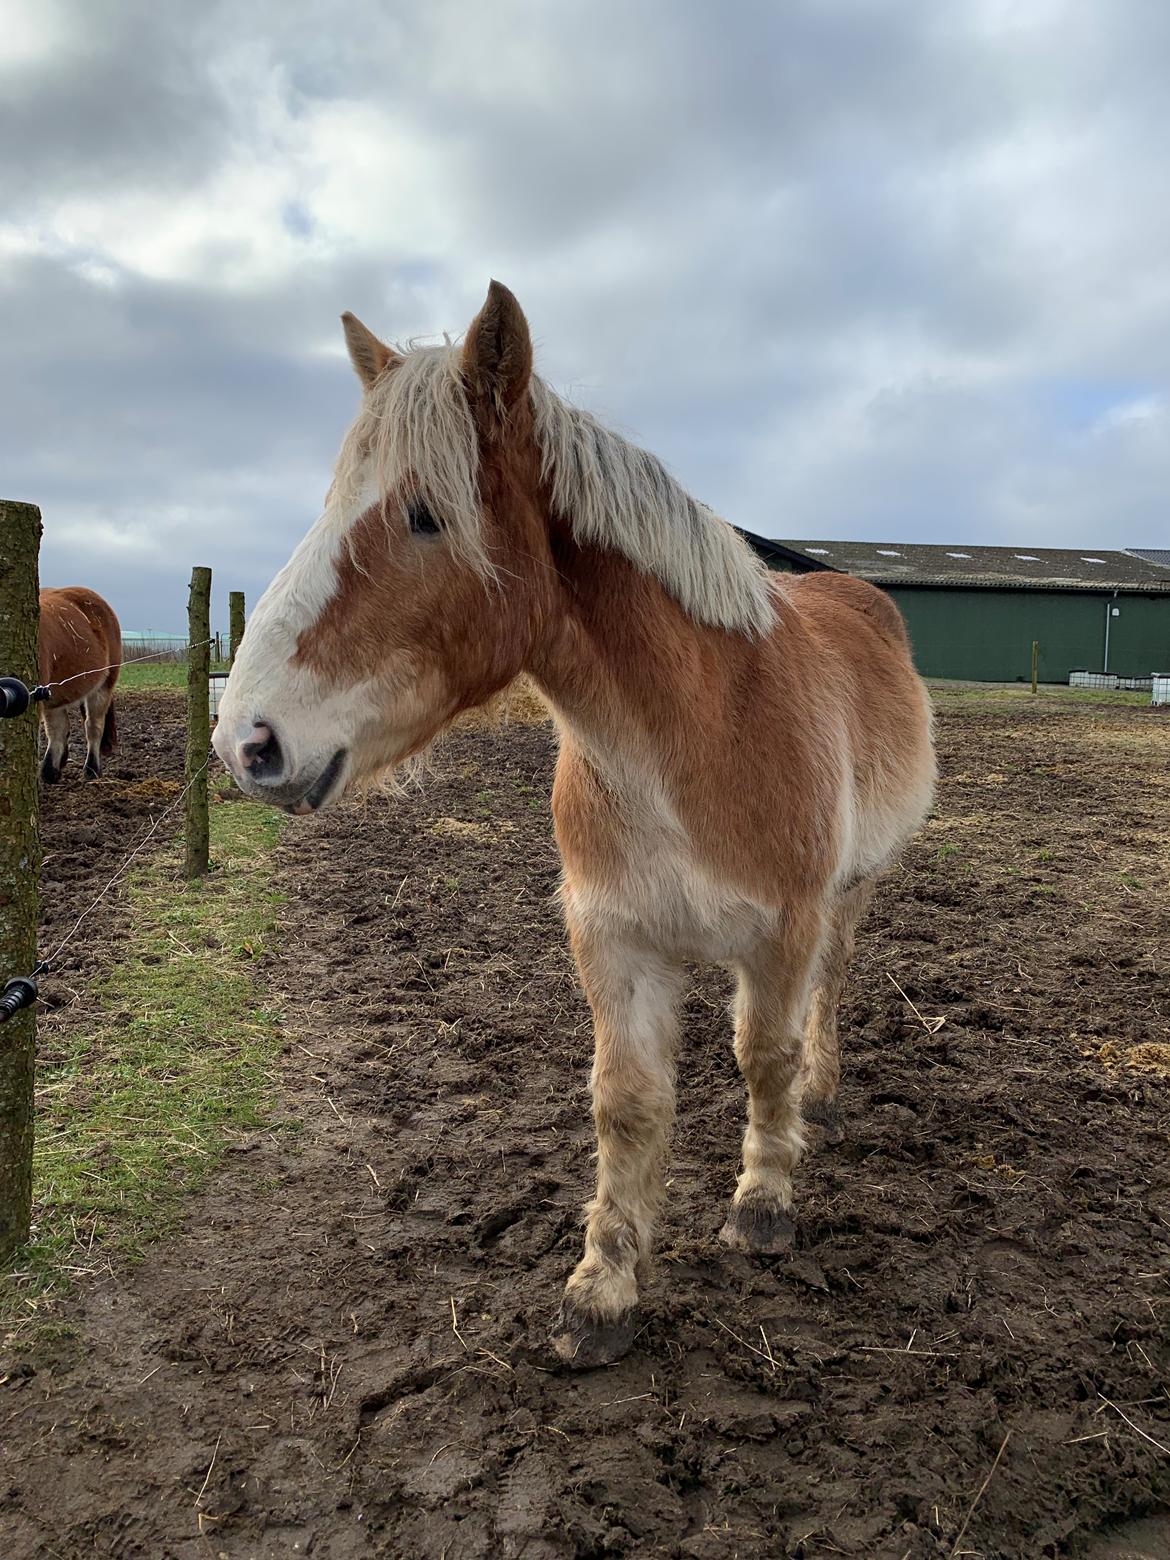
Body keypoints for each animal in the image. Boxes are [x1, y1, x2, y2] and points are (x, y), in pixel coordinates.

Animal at [38, 586, 122, 780]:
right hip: (53, 696)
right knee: (58, 728)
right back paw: (50, 771)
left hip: (103, 688)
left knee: (93, 727)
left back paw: (92, 769)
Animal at [215, 280, 942, 1366]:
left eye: (425, 515)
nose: (247, 741)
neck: (699, 735)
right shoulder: (613, 939)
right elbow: (627, 1104)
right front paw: (602, 1288)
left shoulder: (784, 931)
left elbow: (763, 1057)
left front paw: (763, 1202)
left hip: (850, 894)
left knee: (831, 990)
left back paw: (820, 1093)